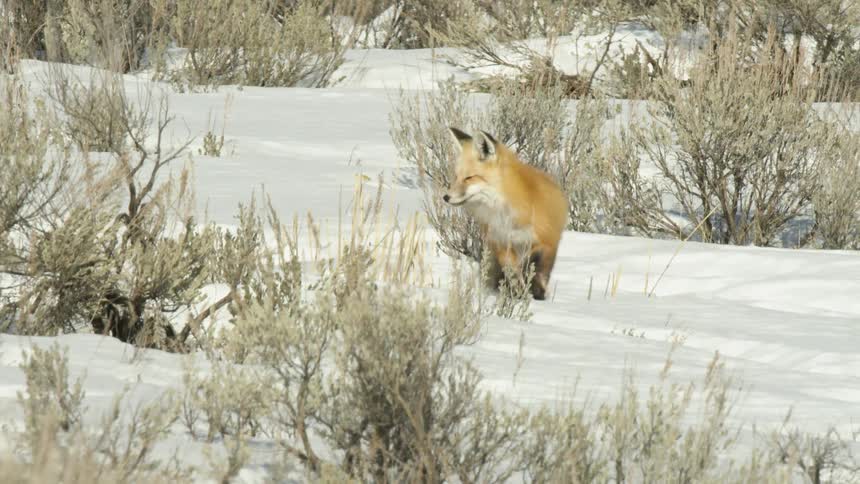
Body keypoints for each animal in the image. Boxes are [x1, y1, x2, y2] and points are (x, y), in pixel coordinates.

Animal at [443, 127, 568, 300]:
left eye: (469, 177)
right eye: (456, 177)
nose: (446, 197)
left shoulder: (546, 241)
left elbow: (534, 266)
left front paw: (536, 293)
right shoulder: (501, 243)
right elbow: (512, 273)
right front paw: (517, 294)